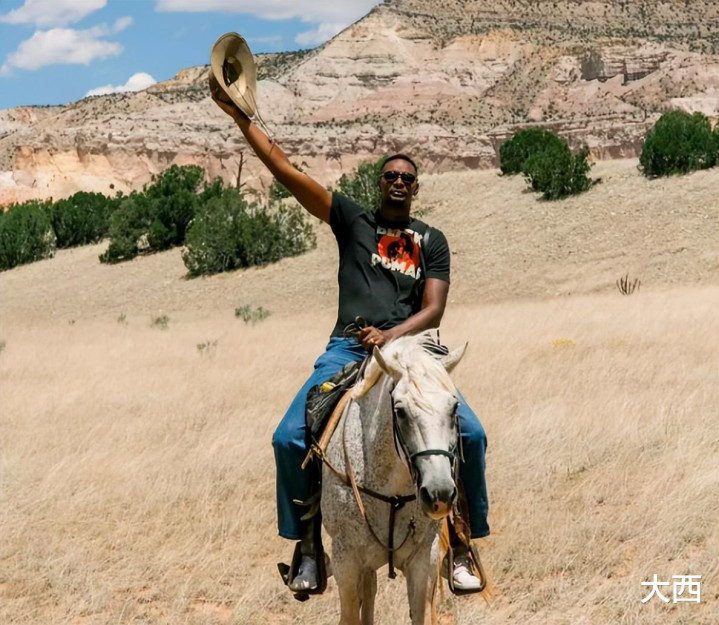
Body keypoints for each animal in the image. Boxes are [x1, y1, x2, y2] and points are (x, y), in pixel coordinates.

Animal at [321, 330, 467, 625]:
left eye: (454, 407)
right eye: (400, 411)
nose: (439, 494)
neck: (392, 492)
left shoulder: (424, 560)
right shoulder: (346, 561)